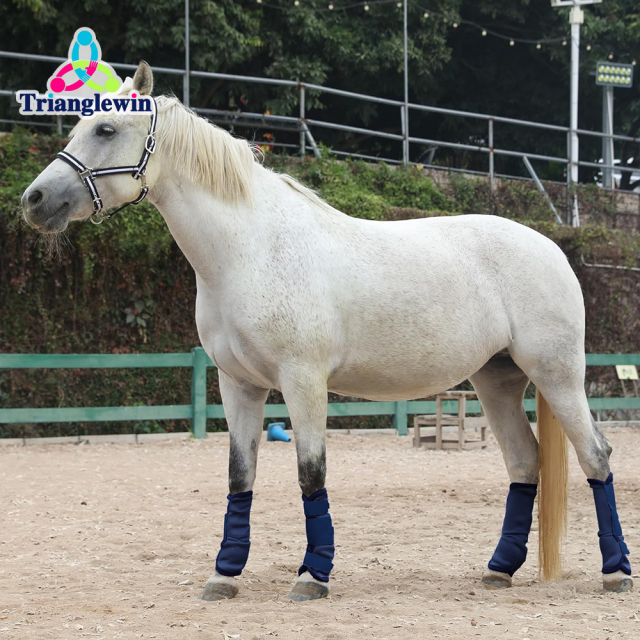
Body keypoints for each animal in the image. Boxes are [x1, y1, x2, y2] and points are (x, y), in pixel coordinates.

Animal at [21, 61, 632, 600]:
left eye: (106, 128)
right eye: (76, 125)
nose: (35, 200)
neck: (251, 249)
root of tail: (551, 246)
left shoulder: (303, 382)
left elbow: (310, 473)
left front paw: (312, 577)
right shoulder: (237, 386)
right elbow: (240, 476)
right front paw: (224, 576)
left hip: (556, 375)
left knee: (597, 455)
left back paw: (615, 572)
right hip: (497, 380)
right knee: (524, 462)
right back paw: (499, 569)